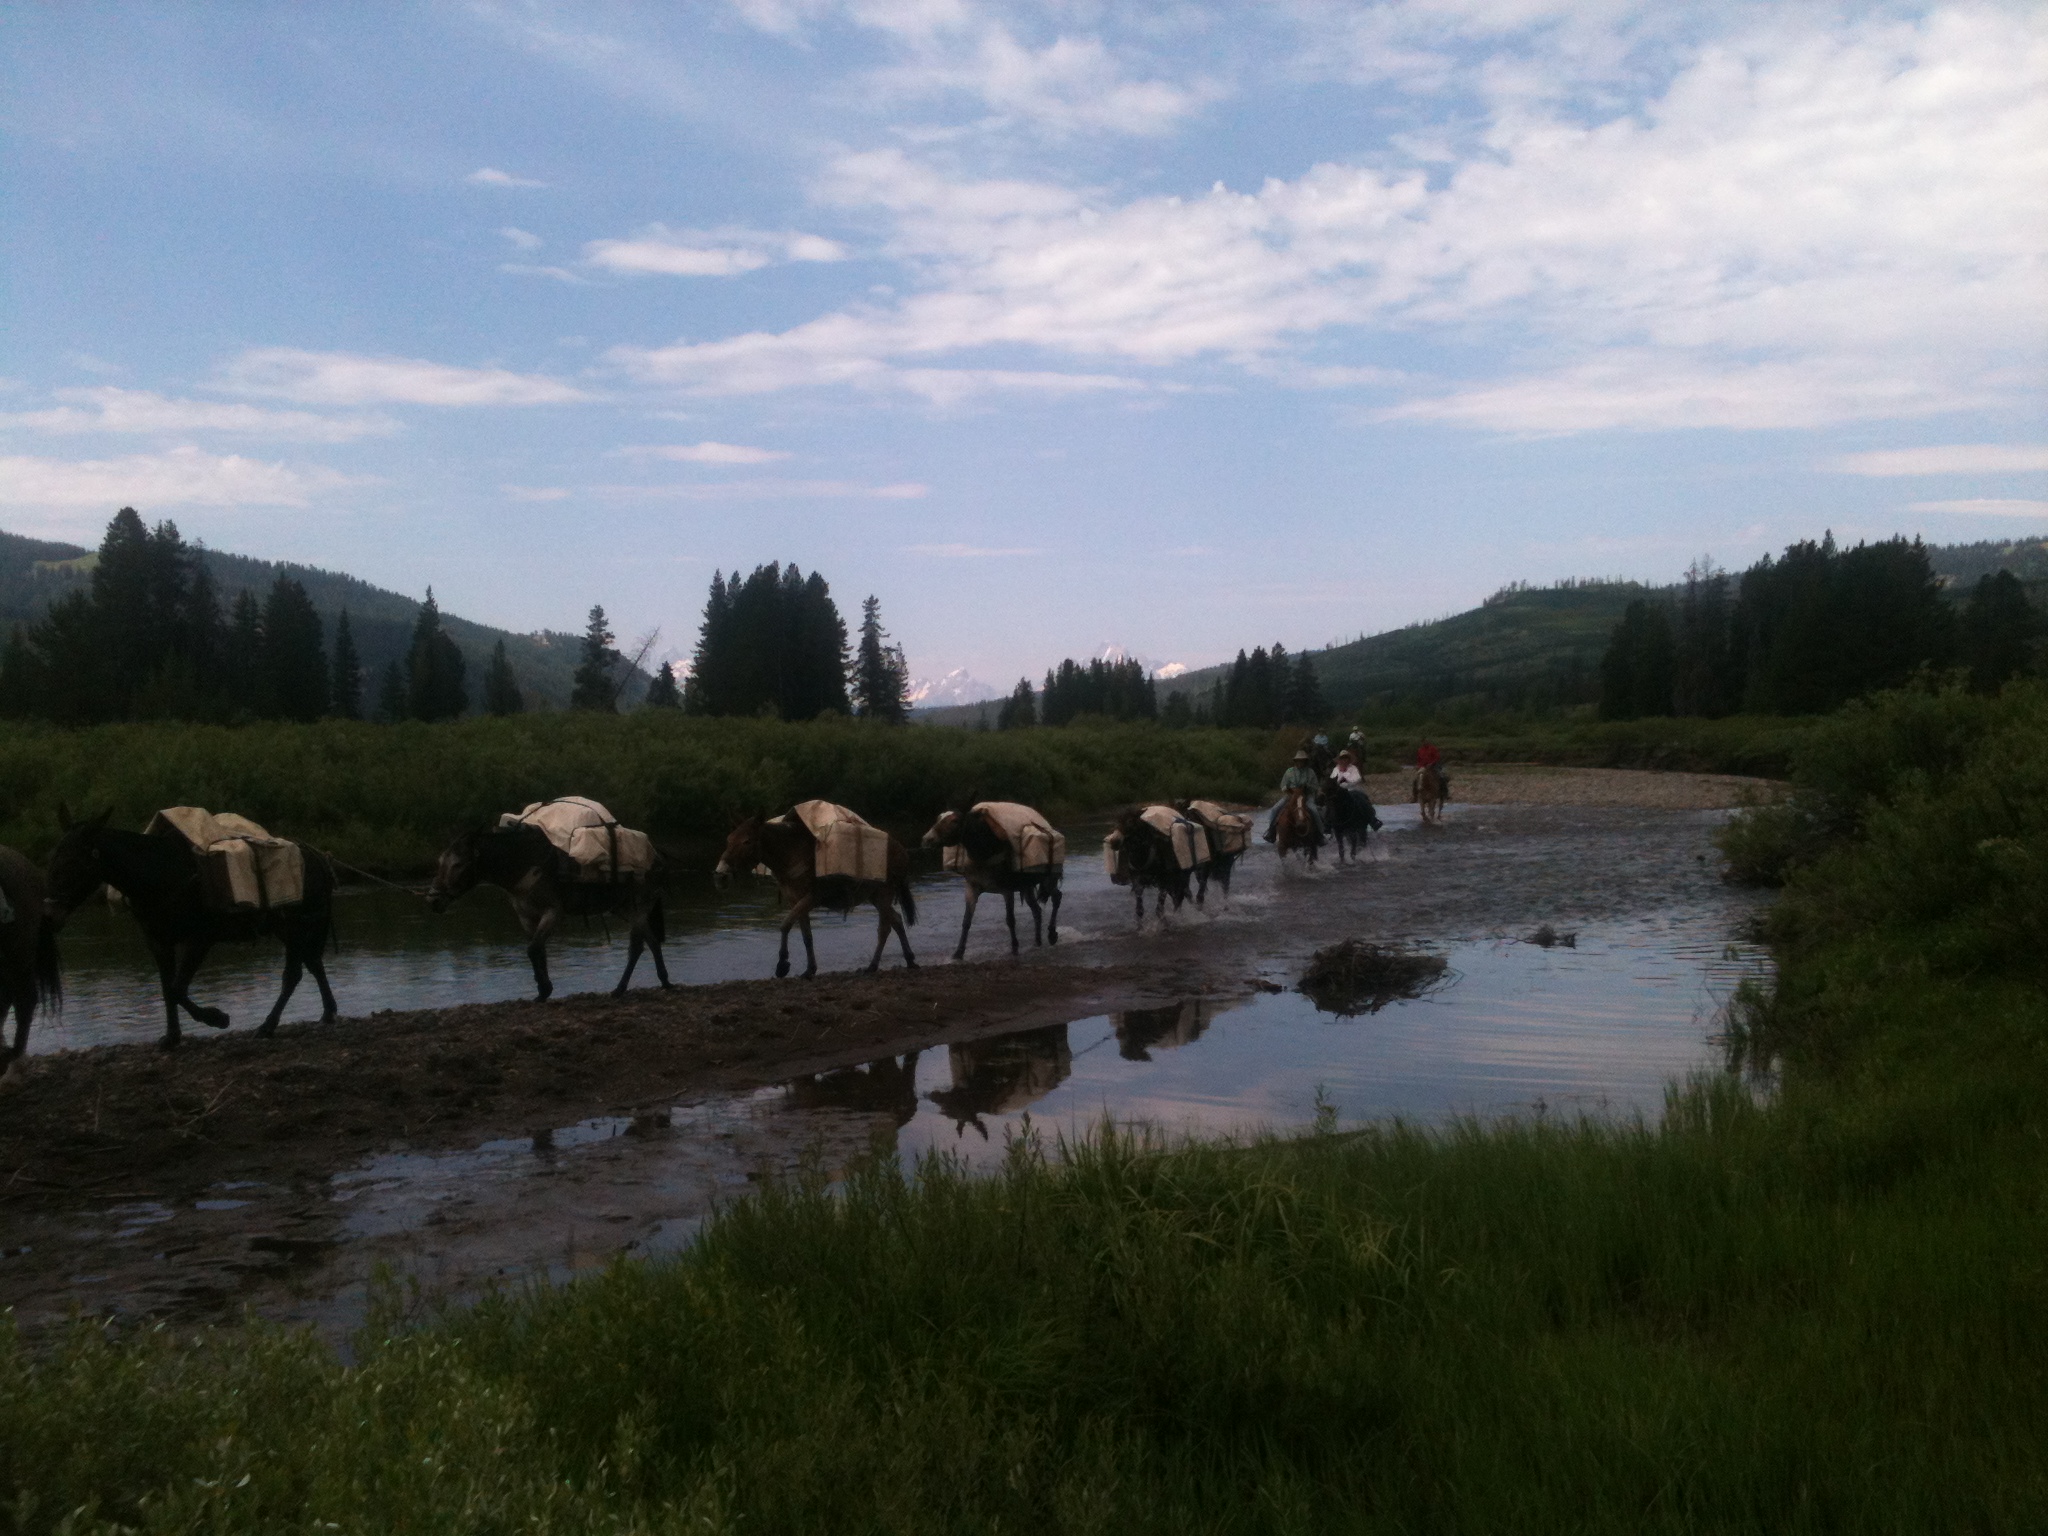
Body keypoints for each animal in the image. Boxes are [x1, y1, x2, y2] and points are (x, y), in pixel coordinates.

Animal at [41, 811, 337, 1056]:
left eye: (72, 862)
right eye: (52, 856)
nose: (49, 916)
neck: (160, 872)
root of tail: (319, 858)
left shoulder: (199, 939)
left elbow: (176, 988)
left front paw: (216, 1018)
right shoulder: (158, 942)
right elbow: (168, 989)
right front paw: (172, 1037)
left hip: (296, 926)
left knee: (293, 975)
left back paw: (268, 1026)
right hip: (291, 929)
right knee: (313, 964)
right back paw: (327, 1013)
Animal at [430, 823, 671, 1003]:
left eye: (458, 864)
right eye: (440, 861)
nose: (433, 900)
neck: (524, 862)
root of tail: (657, 854)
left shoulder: (553, 913)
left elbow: (533, 948)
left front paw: (545, 988)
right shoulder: (527, 917)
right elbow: (537, 950)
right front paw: (542, 991)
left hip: (639, 906)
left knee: (637, 947)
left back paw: (620, 989)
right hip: (625, 908)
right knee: (651, 941)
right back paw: (664, 981)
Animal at [716, 811, 917, 978]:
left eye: (747, 841)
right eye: (728, 839)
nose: (720, 875)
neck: (790, 853)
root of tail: (902, 850)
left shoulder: (811, 898)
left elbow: (785, 924)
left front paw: (782, 965)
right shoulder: (795, 900)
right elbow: (807, 936)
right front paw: (809, 969)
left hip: (884, 894)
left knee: (885, 928)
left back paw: (874, 965)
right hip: (875, 896)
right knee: (896, 921)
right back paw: (907, 959)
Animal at [921, 806, 1064, 962]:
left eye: (954, 821)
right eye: (938, 818)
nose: (927, 839)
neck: (986, 849)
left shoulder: (1007, 890)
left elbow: (1010, 920)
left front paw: (1015, 948)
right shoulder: (972, 888)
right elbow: (966, 921)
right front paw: (958, 953)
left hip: (1048, 879)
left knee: (1057, 897)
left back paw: (1052, 934)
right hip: (1027, 886)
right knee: (1037, 910)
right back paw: (1037, 942)